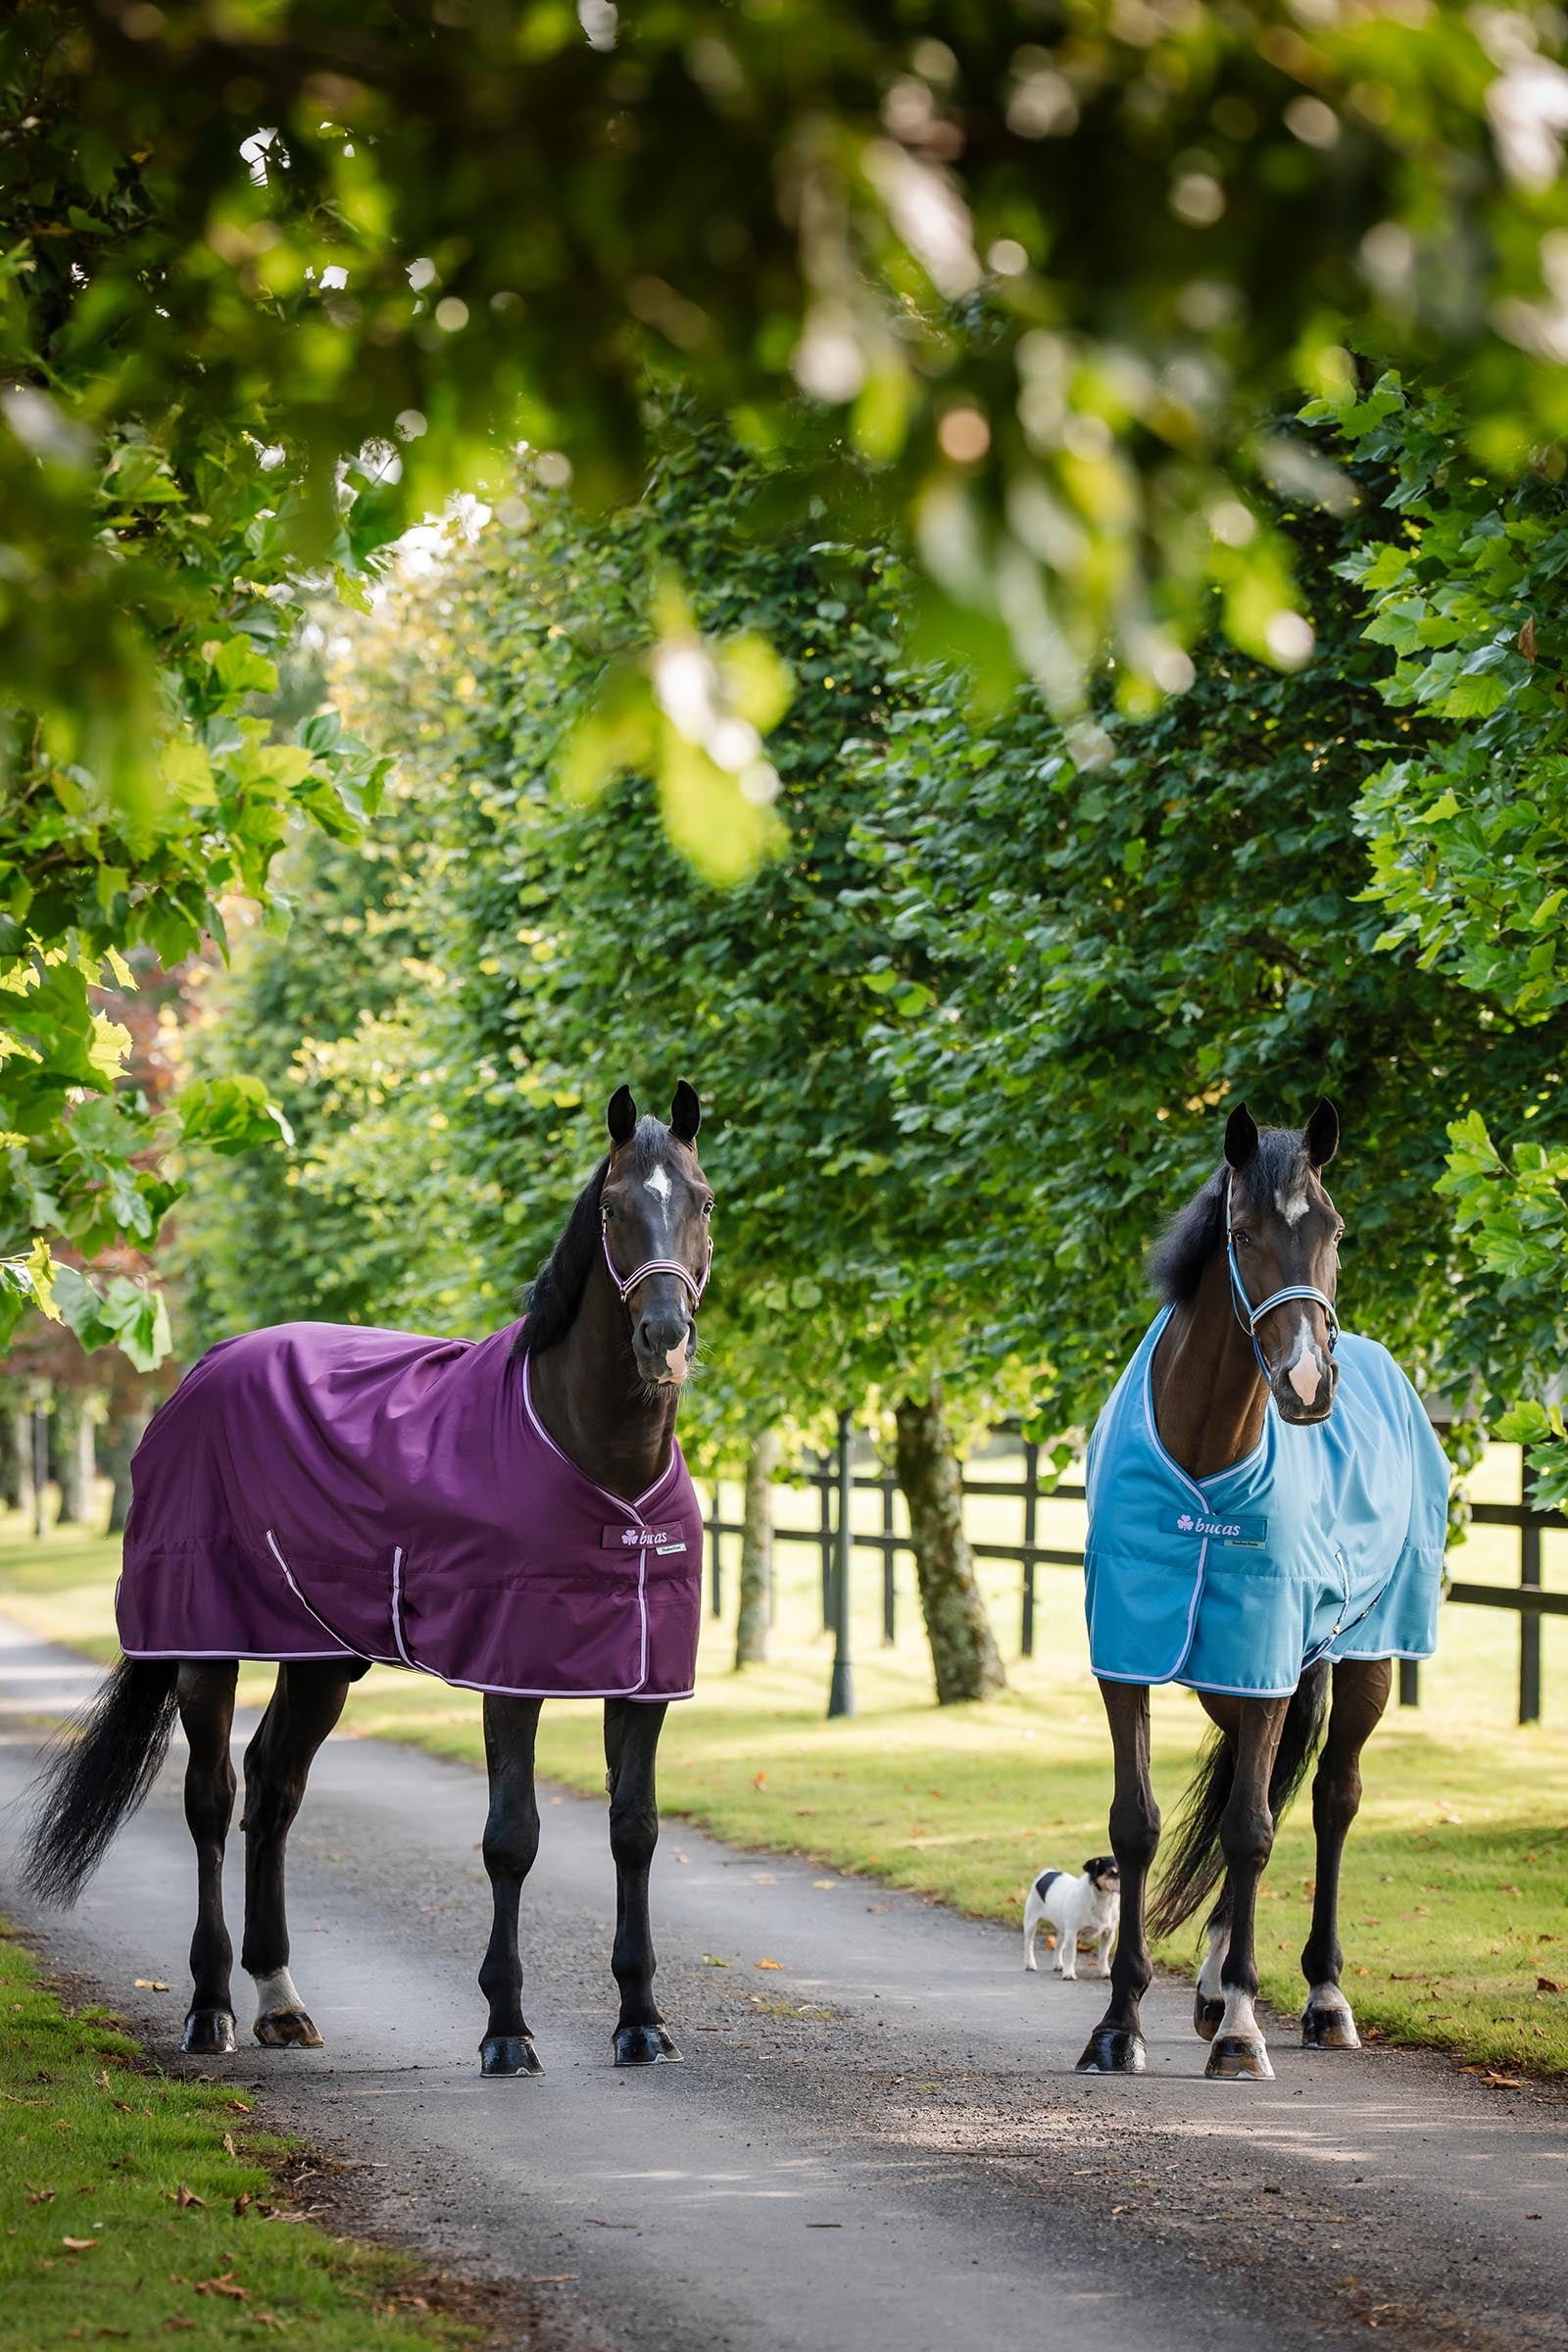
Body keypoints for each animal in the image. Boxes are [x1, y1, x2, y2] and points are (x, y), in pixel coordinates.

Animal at [22, 1082, 713, 2076]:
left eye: (702, 1202)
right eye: (615, 1209)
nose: (664, 1335)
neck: (596, 1455)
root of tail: (202, 1369)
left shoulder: (643, 1680)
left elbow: (636, 1832)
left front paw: (641, 2022)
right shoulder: (509, 1673)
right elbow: (512, 1839)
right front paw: (507, 2031)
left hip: (320, 1659)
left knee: (274, 1789)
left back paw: (280, 2001)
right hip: (204, 1647)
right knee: (211, 1801)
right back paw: (209, 2008)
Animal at [1076, 1101, 1450, 2081]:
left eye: (1334, 1230)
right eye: (1242, 1234)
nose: (1309, 1383)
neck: (1207, 1451)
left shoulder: (1266, 1659)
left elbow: (1250, 1829)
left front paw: (1244, 2029)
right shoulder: (1129, 1655)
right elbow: (1138, 1824)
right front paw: (1118, 2024)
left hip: (1360, 1663)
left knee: (1327, 1801)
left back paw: (1320, 1997)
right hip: (1234, 1684)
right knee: (1271, 1788)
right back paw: (1212, 1985)